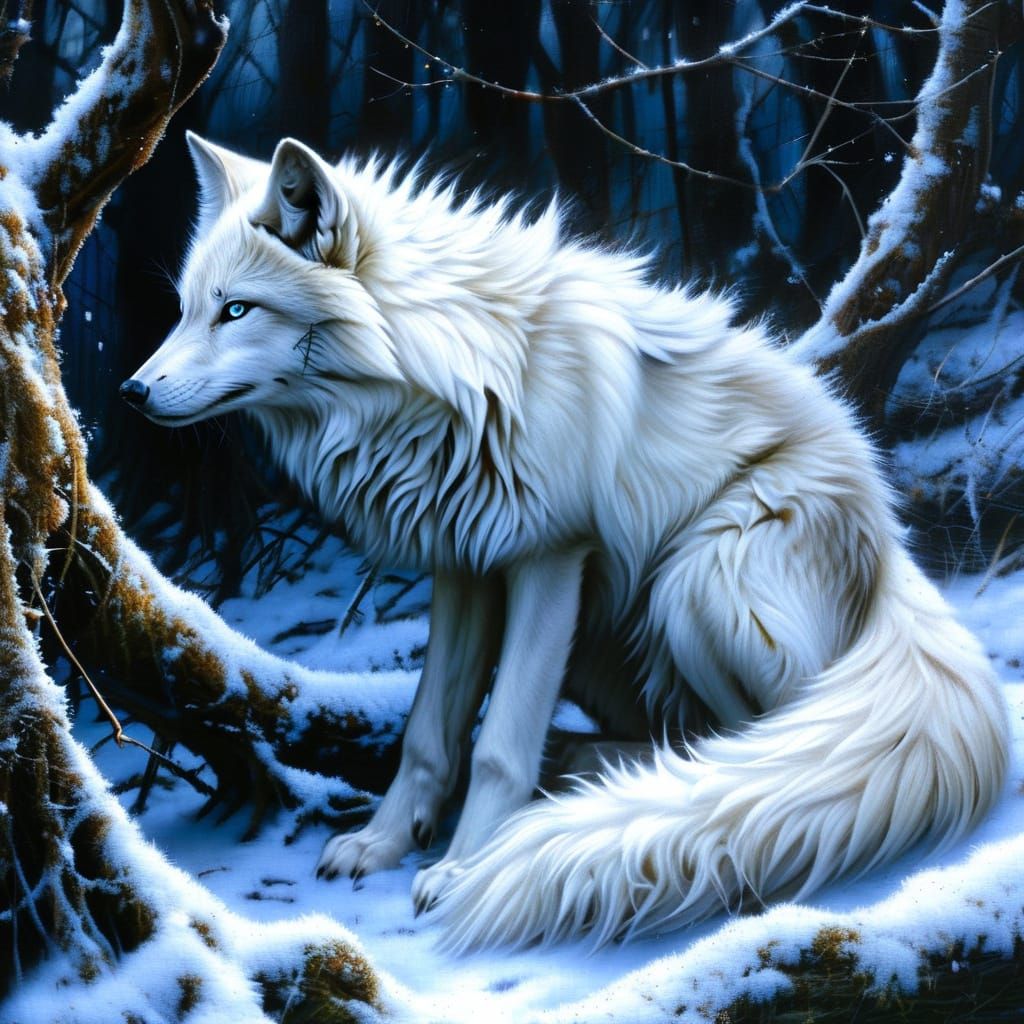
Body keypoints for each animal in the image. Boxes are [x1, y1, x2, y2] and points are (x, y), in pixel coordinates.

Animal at [122, 132, 1009, 951]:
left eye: (237, 310)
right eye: (188, 307)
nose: (130, 392)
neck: (457, 371)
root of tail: (894, 556)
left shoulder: (551, 559)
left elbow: (498, 746)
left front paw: (462, 871)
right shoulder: (465, 564)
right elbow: (431, 735)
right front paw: (383, 843)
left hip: (697, 581)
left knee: (768, 742)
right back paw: (600, 767)